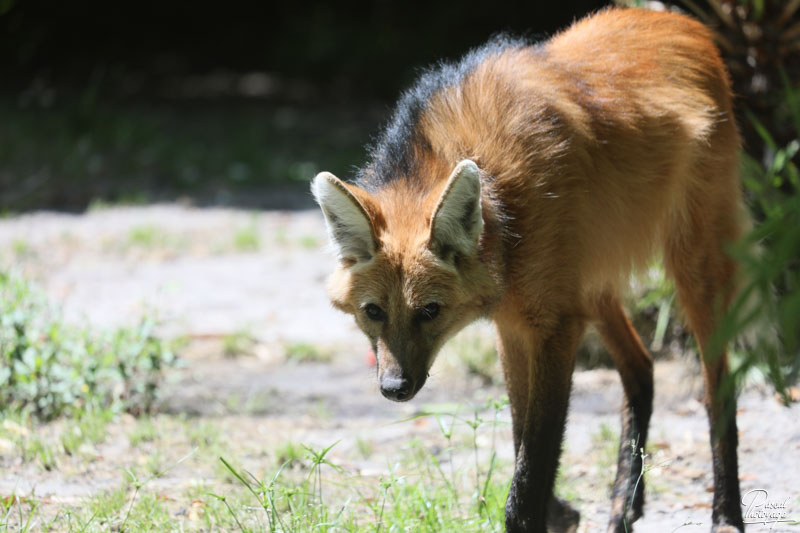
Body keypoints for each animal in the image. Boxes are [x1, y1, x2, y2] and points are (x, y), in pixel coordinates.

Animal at [310, 8, 744, 532]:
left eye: (430, 311)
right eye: (373, 312)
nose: (394, 389)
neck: (504, 208)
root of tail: (681, 23)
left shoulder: (554, 327)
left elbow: (532, 461)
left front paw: (538, 512)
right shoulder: (515, 324)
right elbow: (522, 439)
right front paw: (565, 511)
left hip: (691, 269)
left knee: (718, 386)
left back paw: (725, 514)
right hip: (591, 283)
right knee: (641, 369)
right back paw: (624, 504)